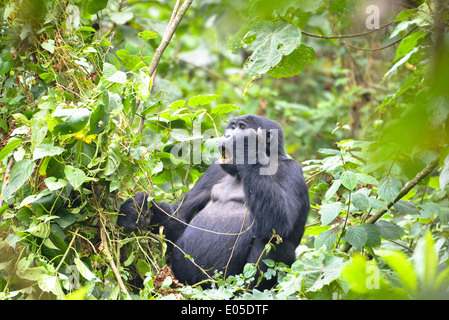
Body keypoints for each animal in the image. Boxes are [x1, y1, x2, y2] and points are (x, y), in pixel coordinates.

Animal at [117, 114, 310, 288]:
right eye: (232, 127)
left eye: (242, 127)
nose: (228, 136)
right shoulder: (214, 171)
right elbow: (179, 217)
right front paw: (139, 208)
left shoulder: (292, 171)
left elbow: (278, 225)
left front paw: (247, 147)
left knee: (273, 242)